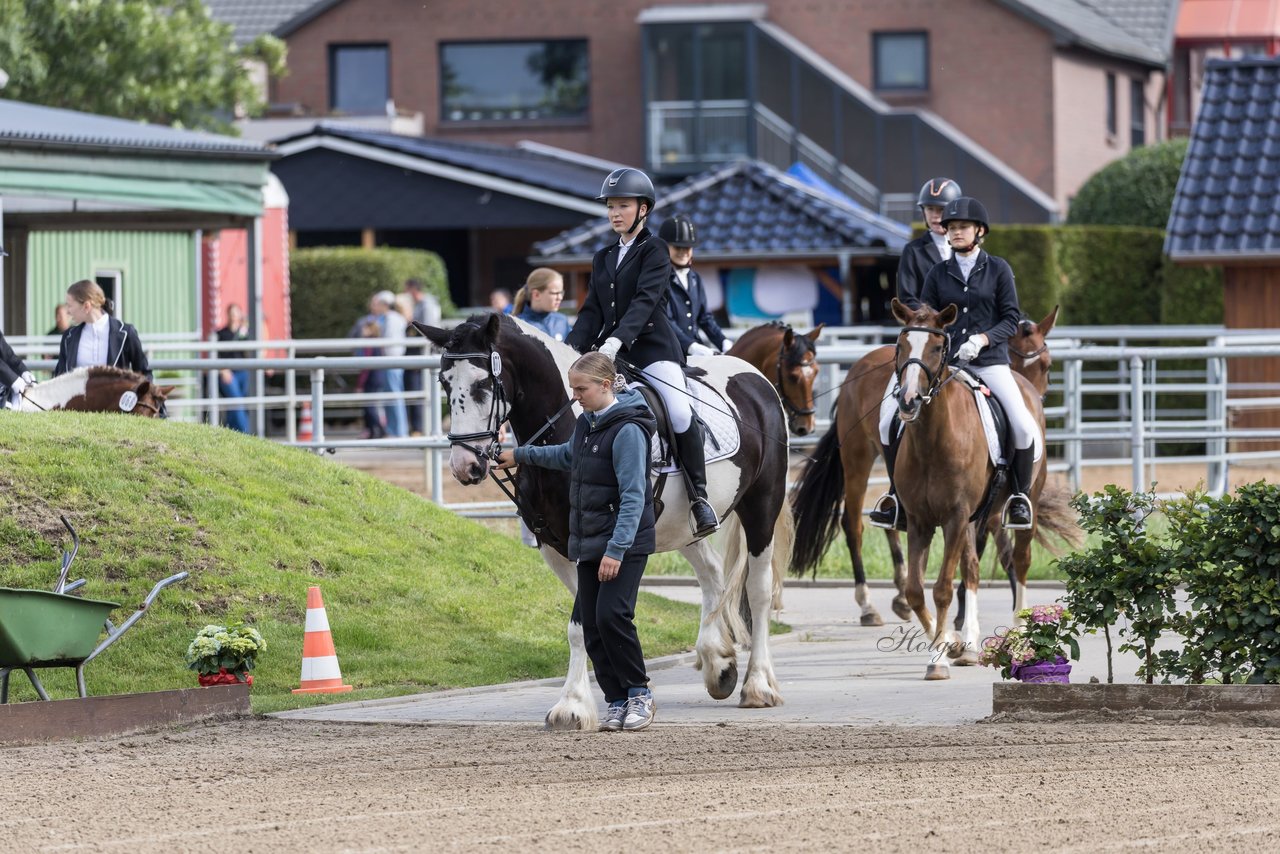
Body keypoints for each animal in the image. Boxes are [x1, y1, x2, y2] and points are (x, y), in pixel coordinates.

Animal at [414, 313, 793, 727]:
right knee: (712, 575)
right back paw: (718, 665)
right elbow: (584, 624)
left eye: (482, 384)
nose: (465, 466)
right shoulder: (557, 548)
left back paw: (759, 685)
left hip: (762, 505)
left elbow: (585, 622)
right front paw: (593, 700)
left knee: (758, 590)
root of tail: (755, 377)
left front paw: (573, 705)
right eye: (444, 383)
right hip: (684, 528)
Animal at [788, 307, 1059, 627]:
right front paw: (962, 617)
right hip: (857, 459)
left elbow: (986, 554)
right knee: (853, 524)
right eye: (901, 345)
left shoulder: (979, 508)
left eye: (1046, 365)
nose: (908, 399)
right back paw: (869, 606)